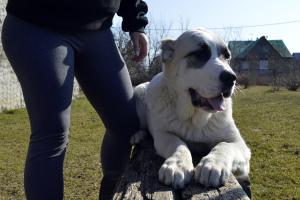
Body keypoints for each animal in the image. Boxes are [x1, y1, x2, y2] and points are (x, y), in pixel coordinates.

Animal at [131, 27, 251, 190]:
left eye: (227, 56)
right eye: (199, 54)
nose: (231, 78)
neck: (195, 117)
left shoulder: (239, 144)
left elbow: (224, 146)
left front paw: (213, 164)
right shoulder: (163, 134)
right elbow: (177, 143)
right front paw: (178, 164)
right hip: (139, 92)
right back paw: (138, 135)